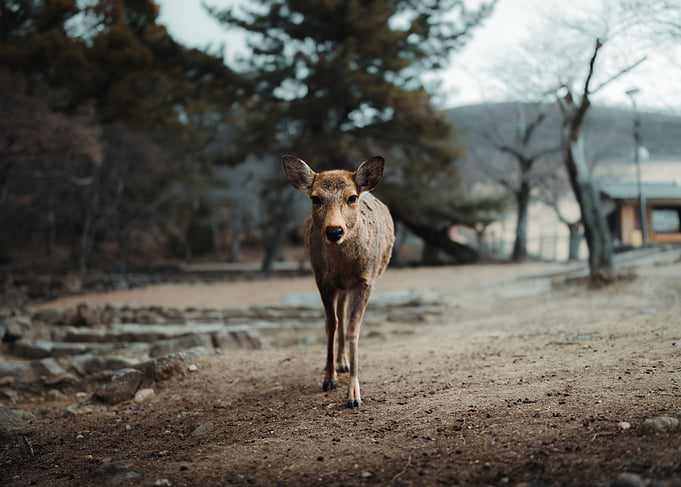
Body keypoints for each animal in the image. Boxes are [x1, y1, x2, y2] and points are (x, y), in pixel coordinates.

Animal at [282, 155, 395, 409]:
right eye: (315, 198)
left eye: (352, 197)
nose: (334, 231)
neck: (344, 266)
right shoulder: (322, 280)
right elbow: (330, 324)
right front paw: (328, 378)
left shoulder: (366, 280)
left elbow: (354, 328)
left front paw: (354, 395)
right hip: (338, 286)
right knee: (337, 315)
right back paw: (338, 363)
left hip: (352, 285)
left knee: (344, 314)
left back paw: (344, 363)